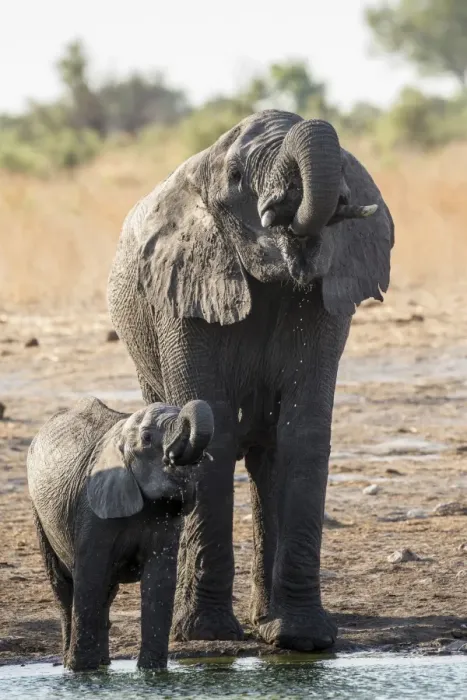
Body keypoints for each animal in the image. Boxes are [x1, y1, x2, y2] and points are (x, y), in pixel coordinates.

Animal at [27, 396, 214, 671]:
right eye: (147, 438)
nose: (173, 456)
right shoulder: (91, 504)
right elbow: (90, 574)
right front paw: (82, 671)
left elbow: (159, 579)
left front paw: (152, 671)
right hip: (39, 514)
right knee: (63, 586)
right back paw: (70, 665)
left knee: (106, 590)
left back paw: (103, 664)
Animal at [107, 109, 394, 651]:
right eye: (238, 176)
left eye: (348, 167)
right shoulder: (182, 293)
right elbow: (210, 431)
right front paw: (205, 636)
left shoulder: (323, 298)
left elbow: (304, 433)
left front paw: (303, 641)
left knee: (269, 458)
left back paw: (267, 622)